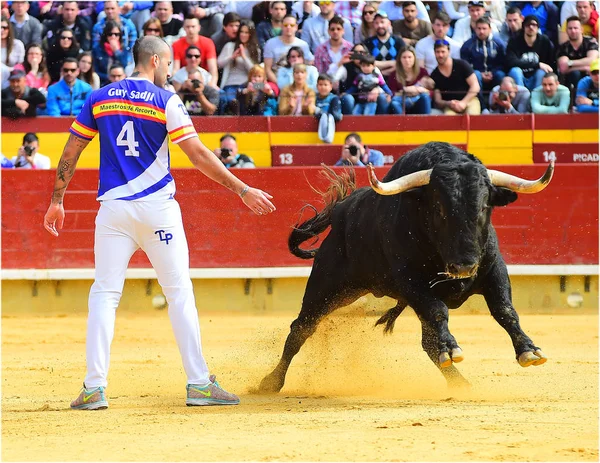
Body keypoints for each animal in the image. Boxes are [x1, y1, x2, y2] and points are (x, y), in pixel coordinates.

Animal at [258, 140, 552, 392]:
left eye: (483, 207)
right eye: (439, 209)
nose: (464, 266)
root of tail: (341, 210)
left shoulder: (493, 270)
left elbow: (505, 310)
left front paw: (529, 350)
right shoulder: (411, 282)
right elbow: (438, 311)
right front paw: (453, 348)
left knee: (429, 345)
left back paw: (460, 384)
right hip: (327, 286)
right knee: (301, 327)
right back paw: (270, 382)